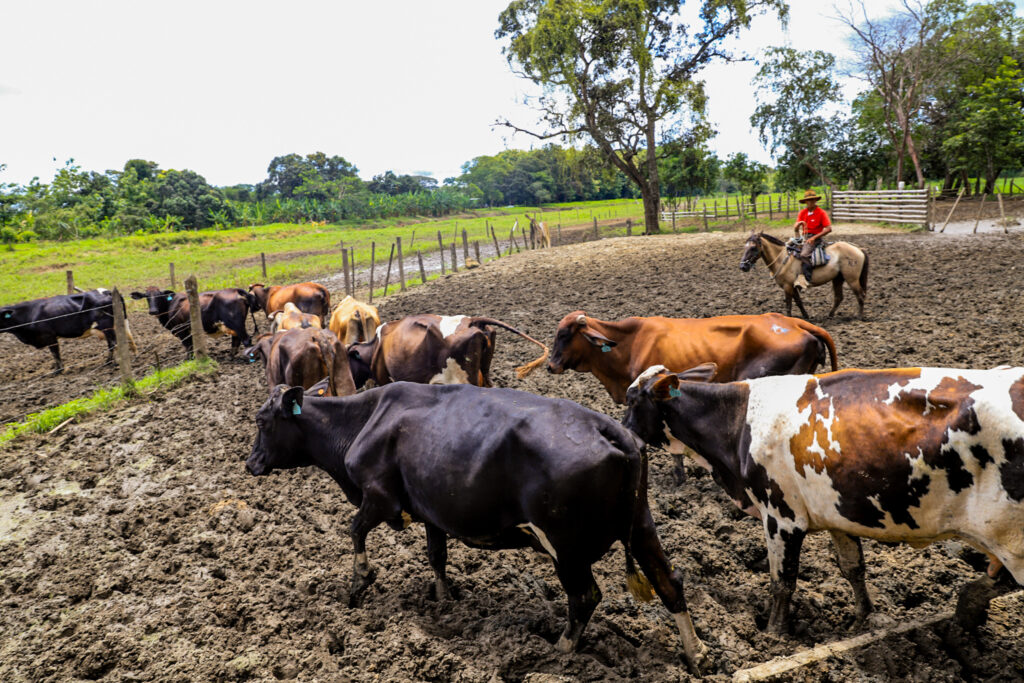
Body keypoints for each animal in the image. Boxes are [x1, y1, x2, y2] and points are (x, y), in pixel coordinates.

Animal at [0, 289, 136, 373]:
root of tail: (107, 292)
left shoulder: (49, 336)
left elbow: (55, 353)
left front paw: (58, 371)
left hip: (106, 326)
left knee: (113, 343)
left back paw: (111, 362)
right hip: (117, 324)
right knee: (125, 339)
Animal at [246, 382, 708, 672]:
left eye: (262, 421)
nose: (249, 464)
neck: (364, 420)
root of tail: (611, 429)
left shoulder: (378, 497)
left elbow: (355, 530)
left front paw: (360, 582)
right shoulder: (430, 509)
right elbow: (436, 555)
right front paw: (444, 598)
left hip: (564, 544)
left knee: (585, 596)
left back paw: (559, 651)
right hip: (642, 525)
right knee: (669, 582)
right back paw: (697, 653)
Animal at [623, 364, 1024, 634]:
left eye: (630, 399)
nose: (623, 430)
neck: (738, 421)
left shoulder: (781, 517)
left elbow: (783, 580)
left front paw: (774, 634)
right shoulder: (836, 515)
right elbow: (853, 569)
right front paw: (862, 619)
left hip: (1011, 538)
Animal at [739, 232, 869, 320]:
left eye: (753, 247)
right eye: (745, 247)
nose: (742, 266)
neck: (783, 259)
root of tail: (858, 249)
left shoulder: (787, 286)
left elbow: (789, 304)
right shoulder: (792, 286)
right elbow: (798, 302)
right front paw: (806, 316)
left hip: (852, 279)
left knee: (860, 295)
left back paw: (859, 316)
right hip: (838, 279)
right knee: (839, 297)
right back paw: (830, 315)